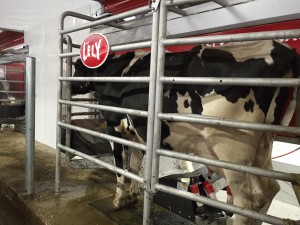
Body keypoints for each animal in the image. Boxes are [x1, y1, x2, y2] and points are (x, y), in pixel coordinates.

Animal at [71, 40, 298, 225]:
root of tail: (283, 49)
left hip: (232, 147)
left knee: (250, 200)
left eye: (76, 68)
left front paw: (120, 198)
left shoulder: (113, 127)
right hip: (263, 144)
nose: (70, 85)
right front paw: (134, 192)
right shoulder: (137, 132)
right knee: (270, 189)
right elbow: (136, 164)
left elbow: (121, 168)